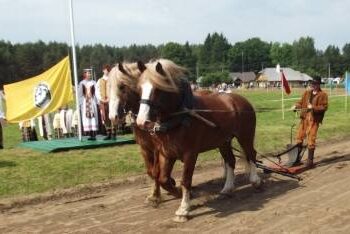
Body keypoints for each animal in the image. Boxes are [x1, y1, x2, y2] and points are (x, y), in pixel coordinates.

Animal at [135, 58, 262, 221]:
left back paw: (255, 181)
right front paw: (176, 193)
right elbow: (162, 178)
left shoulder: (190, 154)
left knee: (251, 154)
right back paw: (227, 189)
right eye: (139, 88)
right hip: (224, 141)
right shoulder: (166, 153)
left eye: (157, 89)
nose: (141, 121)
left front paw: (184, 209)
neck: (180, 117)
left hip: (245, 135)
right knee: (230, 161)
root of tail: (240, 100)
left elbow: (186, 180)